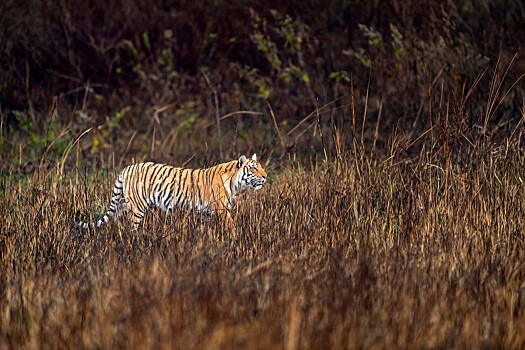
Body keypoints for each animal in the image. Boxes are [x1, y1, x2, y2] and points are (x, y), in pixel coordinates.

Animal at [74, 154, 266, 230]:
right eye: (254, 168)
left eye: (260, 167)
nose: (265, 176)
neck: (236, 183)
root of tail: (126, 168)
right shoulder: (221, 209)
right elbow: (232, 226)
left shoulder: (208, 212)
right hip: (137, 208)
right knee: (132, 227)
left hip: (122, 204)